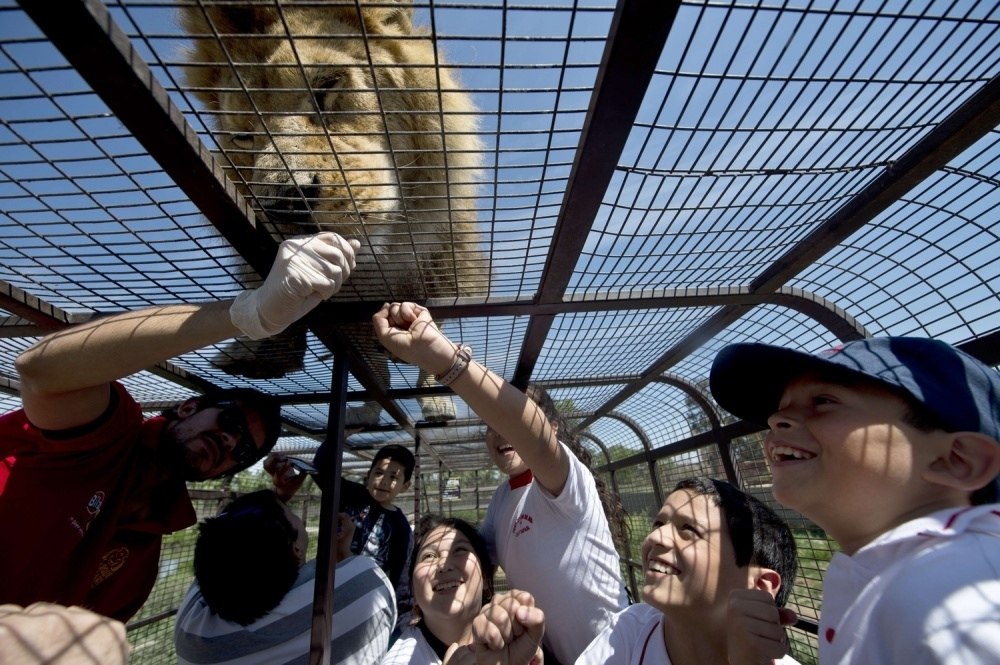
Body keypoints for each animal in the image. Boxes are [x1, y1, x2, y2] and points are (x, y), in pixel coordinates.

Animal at [184, 0, 492, 426]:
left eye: (327, 86)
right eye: (243, 136)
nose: (284, 202)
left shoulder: (449, 271)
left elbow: (431, 333)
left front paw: (435, 394)